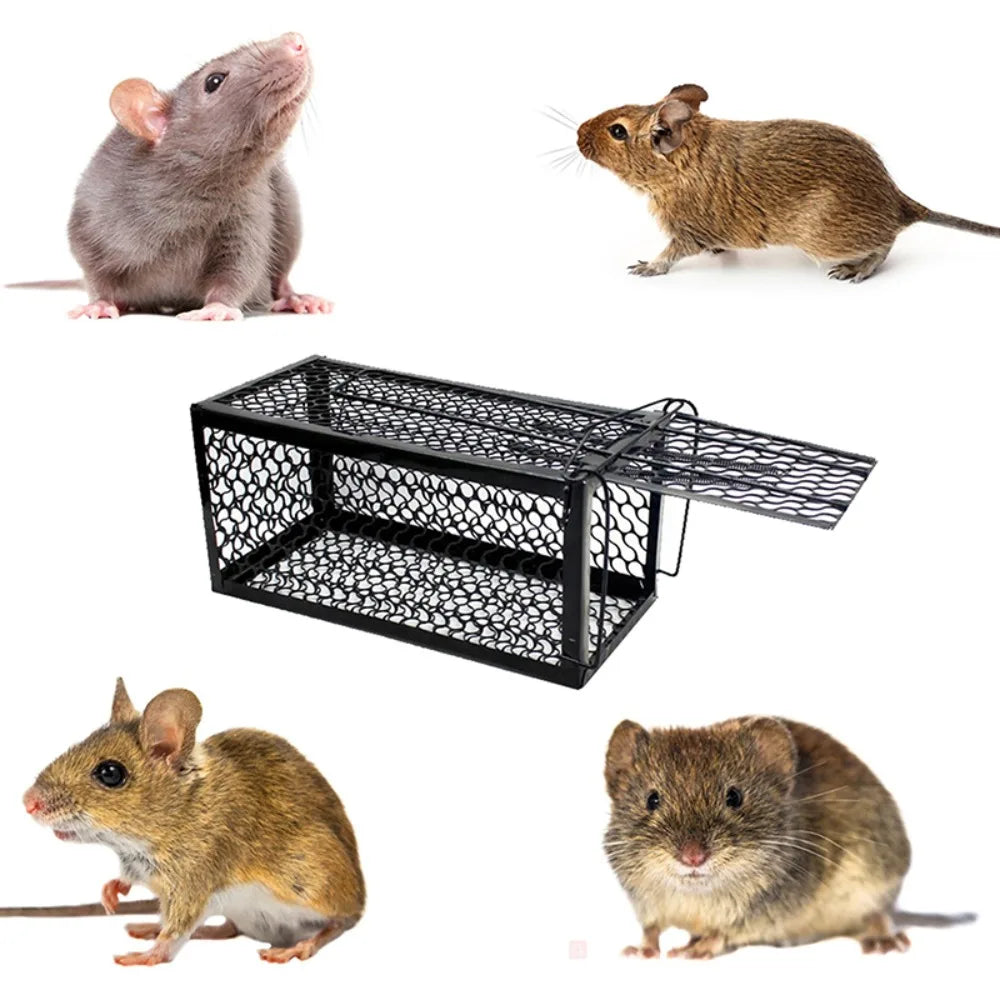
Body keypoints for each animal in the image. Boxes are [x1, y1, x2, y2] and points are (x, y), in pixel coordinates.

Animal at [13, 679, 364, 965]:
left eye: (110, 773)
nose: (28, 802)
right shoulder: (143, 869)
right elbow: (126, 881)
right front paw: (110, 894)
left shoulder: (192, 881)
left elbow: (175, 934)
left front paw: (144, 957)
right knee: (225, 929)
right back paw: (149, 925)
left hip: (315, 887)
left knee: (340, 923)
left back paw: (297, 947)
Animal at [66, 32, 331, 320]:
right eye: (214, 81)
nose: (295, 39)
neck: (194, 195)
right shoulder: (93, 215)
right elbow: (94, 270)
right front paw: (99, 304)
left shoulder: (246, 213)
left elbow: (240, 267)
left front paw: (217, 308)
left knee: (280, 275)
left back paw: (297, 299)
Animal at [577, 84, 1000, 282]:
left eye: (617, 131)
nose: (579, 134)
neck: (685, 160)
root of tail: (901, 202)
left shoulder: (687, 230)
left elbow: (669, 255)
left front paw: (645, 267)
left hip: (826, 236)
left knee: (886, 243)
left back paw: (855, 271)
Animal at [604, 716, 972, 959]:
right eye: (652, 799)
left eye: (734, 797)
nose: (692, 857)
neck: (695, 894)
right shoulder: (646, 903)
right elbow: (651, 928)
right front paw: (640, 950)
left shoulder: (762, 909)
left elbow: (724, 932)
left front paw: (695, 950)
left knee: (879, 914)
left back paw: (884, 940)